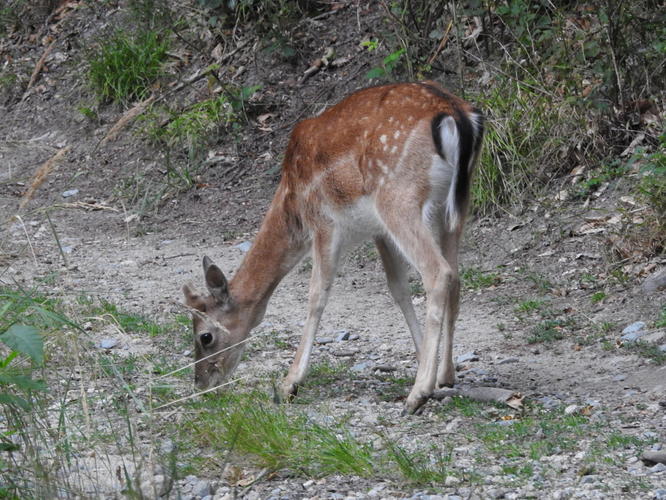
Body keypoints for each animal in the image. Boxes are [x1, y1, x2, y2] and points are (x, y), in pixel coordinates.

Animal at [182, 80, 482, 412]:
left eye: (205, 336)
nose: (201, 384)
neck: (293, 206)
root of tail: (456, 114)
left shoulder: (324, 222)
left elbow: (316, 294)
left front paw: (289, 384)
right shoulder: (378, 231)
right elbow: (398, 289)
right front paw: (420, 356)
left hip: (398, 198)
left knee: (439, 273)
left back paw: (418, 394)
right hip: (454, 206)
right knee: (456, 277)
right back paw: (445, 375)